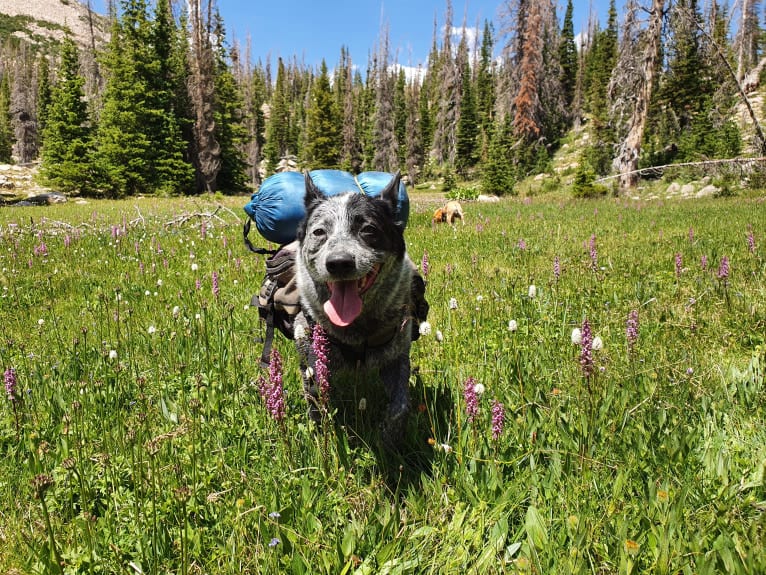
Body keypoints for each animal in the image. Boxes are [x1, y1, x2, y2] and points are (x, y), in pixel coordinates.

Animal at [294, 171, 428, 446]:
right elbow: (316, 400)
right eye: (319, 232)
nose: (339, 263)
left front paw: (388, 440)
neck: (356, 329)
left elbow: (401, 405)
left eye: (368, 229)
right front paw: (323, 439)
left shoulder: (397, 354)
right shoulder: (315, 358)